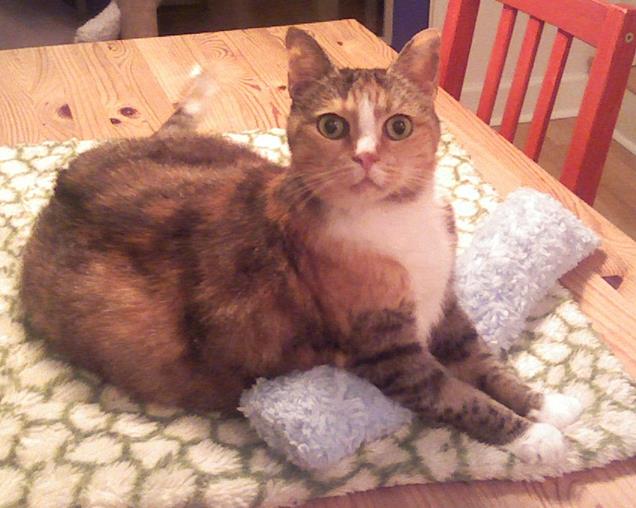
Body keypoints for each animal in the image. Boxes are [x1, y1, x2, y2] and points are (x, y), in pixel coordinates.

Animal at [21, 26, 580, 464]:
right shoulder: (388, 353)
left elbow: (483, 361)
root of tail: (70, 175)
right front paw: (535, 439)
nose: (366, 157)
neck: (395, 217)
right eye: (332, 125)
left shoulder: (444, 306)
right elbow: (459, 395)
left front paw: (546, 404)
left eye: (398, 125)